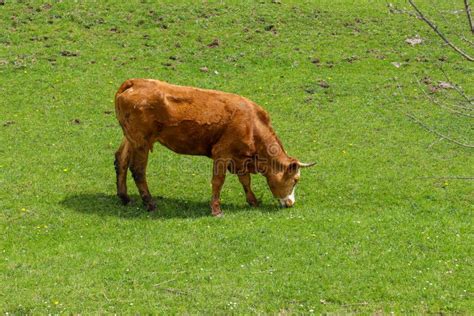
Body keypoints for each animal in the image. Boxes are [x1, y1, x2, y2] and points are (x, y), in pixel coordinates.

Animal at [114, 79, 314, 217]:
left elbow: (245, 180)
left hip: (131, 139)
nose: (291, 203)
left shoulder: (239, 157)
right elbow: (218, 181)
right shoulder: (222, 153)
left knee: (121, 160)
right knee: (137, 170)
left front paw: (253, 201)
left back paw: (124, 197)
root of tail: (135, 82)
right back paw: (150, 203)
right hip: (142, 142)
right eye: (295, 180)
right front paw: (216, 210)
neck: (252, 124)